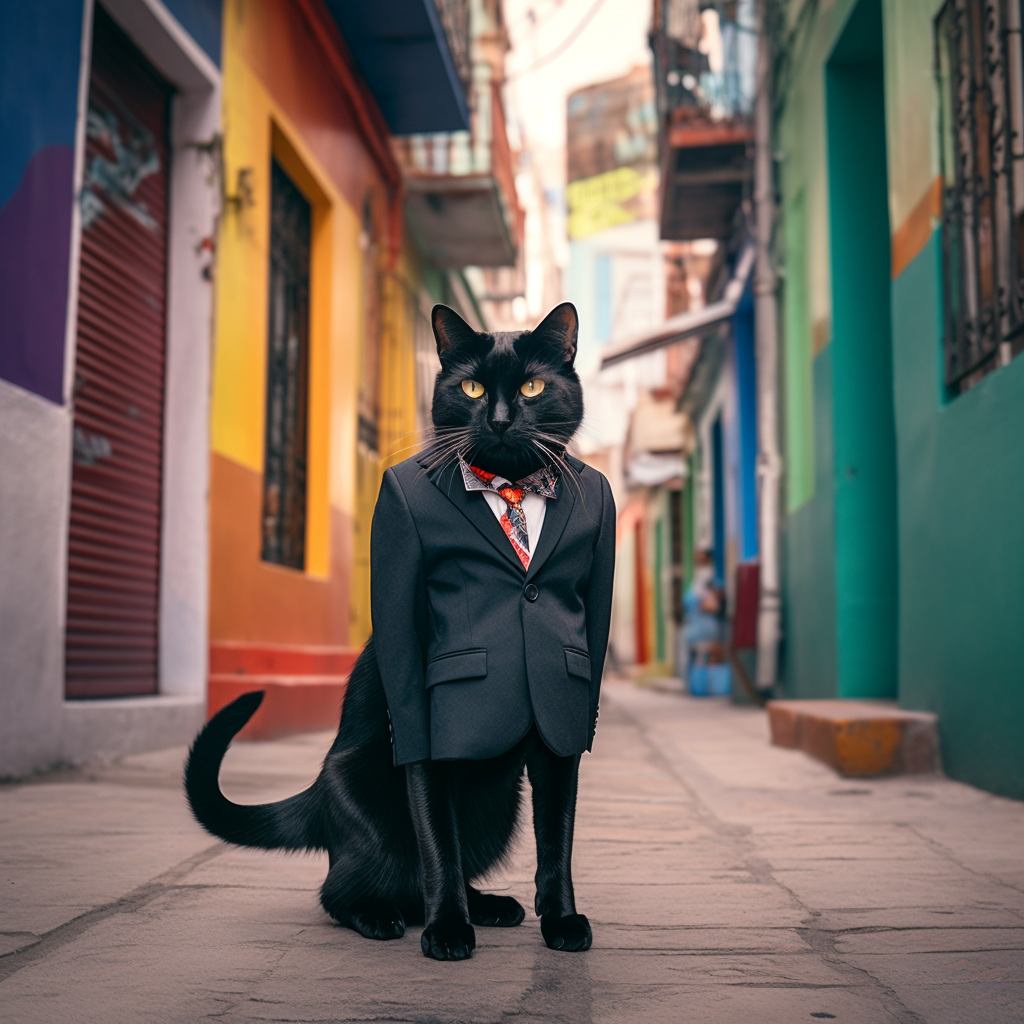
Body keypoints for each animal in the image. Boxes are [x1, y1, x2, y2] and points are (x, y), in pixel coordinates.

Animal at [185, 303, 610, 958]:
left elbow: (556, 841)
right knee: (350, 887)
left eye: (533, 388)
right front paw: (447, 932)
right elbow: (437, 840)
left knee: (441, 867)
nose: (501, 420)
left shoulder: (561, 736)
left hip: (499, 804)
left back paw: (490, 906)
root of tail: (320, 792)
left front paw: (561, 922)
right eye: (473, 388)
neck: (511, 483)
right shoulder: (423, 726)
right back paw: (386, 915)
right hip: (369, 799)